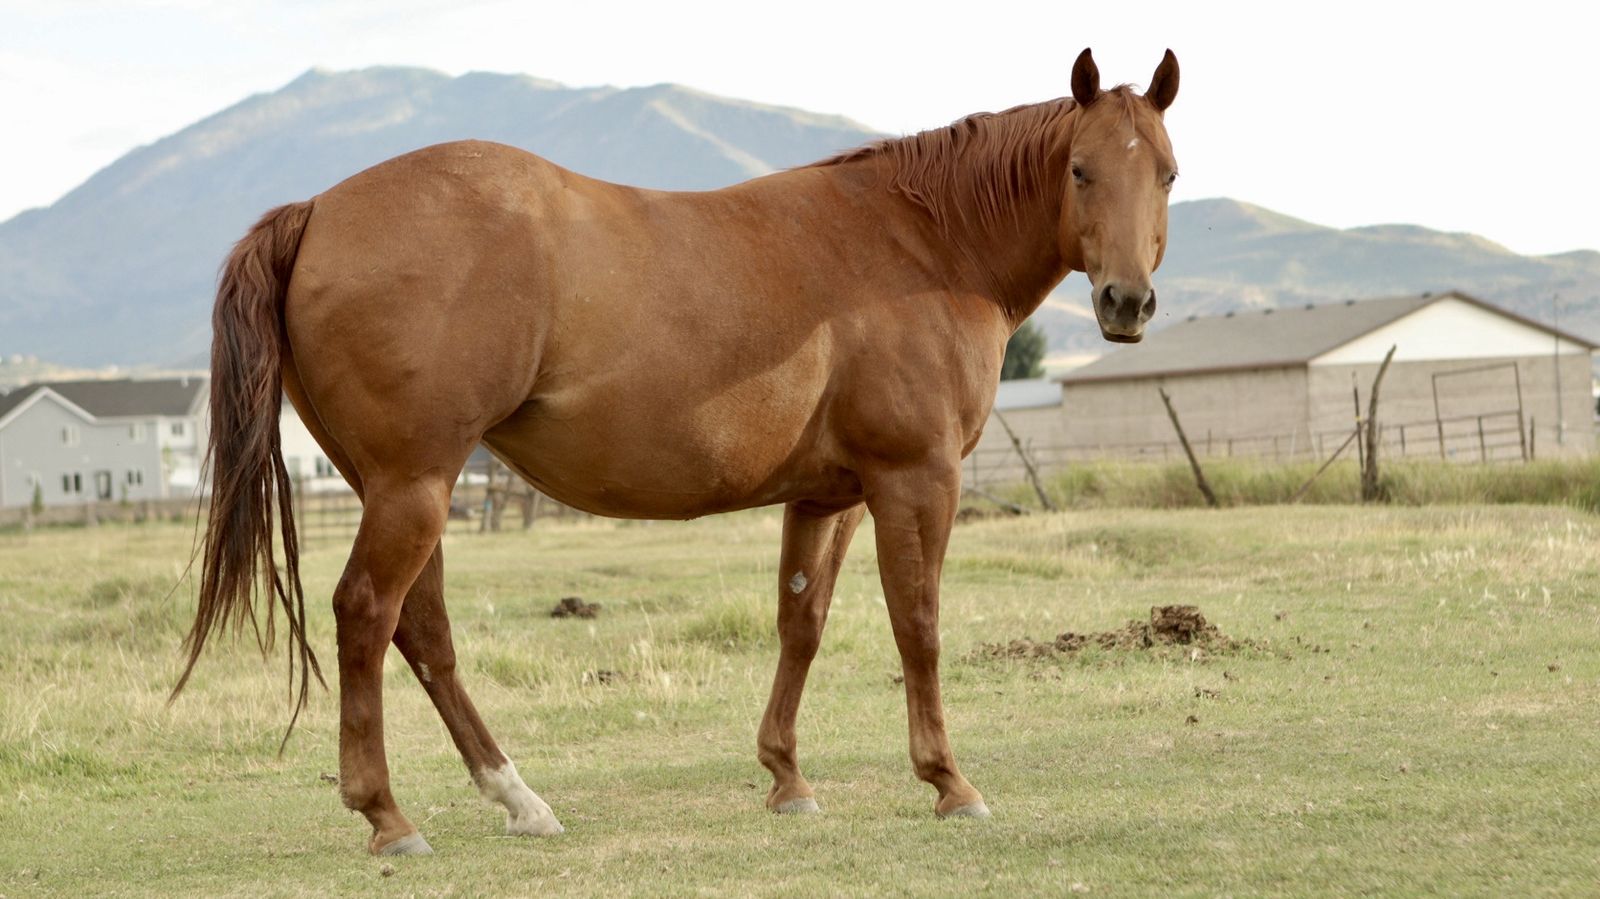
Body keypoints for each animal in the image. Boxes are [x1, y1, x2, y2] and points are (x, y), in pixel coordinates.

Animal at [174, 47, 1180, 856]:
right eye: (1082, 170)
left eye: (1167, 172)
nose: (1127, 303)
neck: (924, 242)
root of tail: (317, 210)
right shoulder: (916, 480)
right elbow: (919, 625)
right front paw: (949, 782)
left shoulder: (830, 495)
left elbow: (801, 622)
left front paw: (787, 777)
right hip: (414, 485)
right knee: (366, 615)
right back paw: (388, 815)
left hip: (396, 487)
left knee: (421, 631)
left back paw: (518, 798)